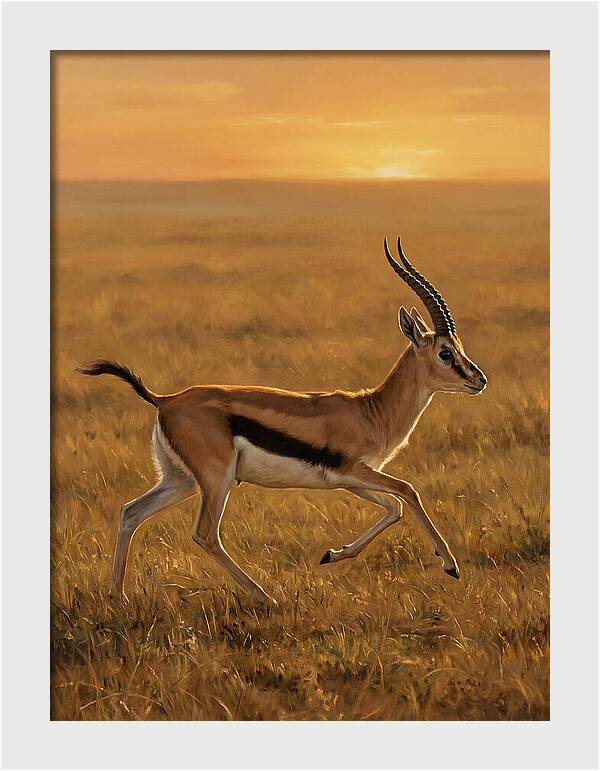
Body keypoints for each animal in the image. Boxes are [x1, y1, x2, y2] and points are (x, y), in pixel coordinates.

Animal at [79, 237, 487, 606]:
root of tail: (165, 399)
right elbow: (408, 492)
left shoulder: (349, 480)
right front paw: (450, 565)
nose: (479, 379)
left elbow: (394, 508)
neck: (372, 411)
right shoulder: (353, 471)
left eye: (460, 347)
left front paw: (332, 554)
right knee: (205, 534)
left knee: (131, 512)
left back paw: (117, 597)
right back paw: (265, 597)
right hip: (216, 479)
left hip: (180, 480)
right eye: (445, 352)